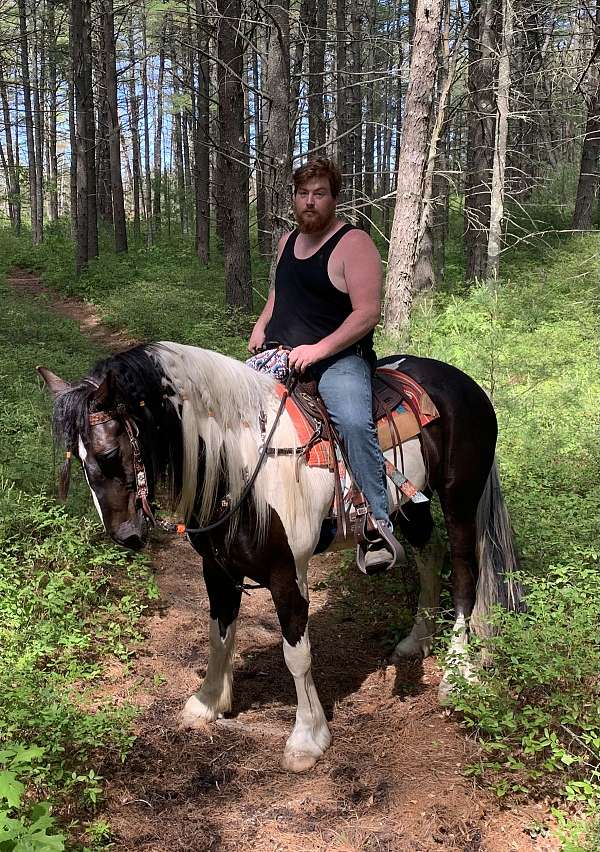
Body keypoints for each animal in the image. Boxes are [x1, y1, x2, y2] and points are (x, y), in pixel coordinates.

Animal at [39, 340, 524, 772]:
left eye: (107, 453)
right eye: (77, 461)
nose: (126, 536)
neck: (240, 462)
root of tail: (463, 382)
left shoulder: (288, 574)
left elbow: (298, 654)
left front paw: (307, 738)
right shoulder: (216, 569)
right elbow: (218, 635)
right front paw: (207, 702)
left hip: (459, 499)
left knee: (463, 572)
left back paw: (458, 673)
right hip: (412, 506)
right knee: (429, 554)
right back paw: (416, 639)